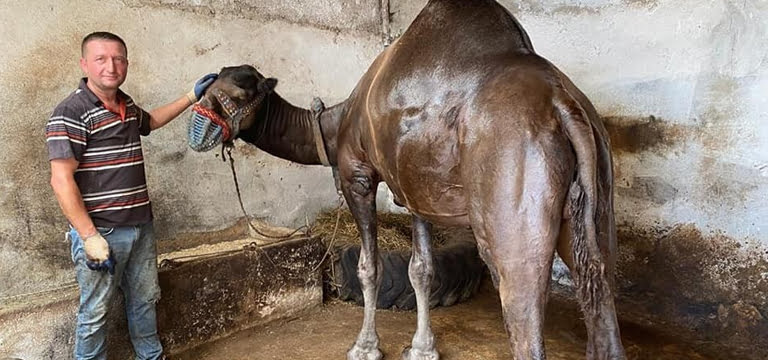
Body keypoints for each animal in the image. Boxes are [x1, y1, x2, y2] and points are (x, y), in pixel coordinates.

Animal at [189, 1, 628, 358]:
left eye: (234, 97)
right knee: (601, 294)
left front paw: (365, 347)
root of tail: (563, 104)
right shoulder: (416, 190)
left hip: (511, 199)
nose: (197, 129)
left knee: (522, 308)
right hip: (593, 203)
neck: (336, 124)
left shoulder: (357, 174)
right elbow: (422, 269)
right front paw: (422, 348)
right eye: (207, 86)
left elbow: (370, 266)